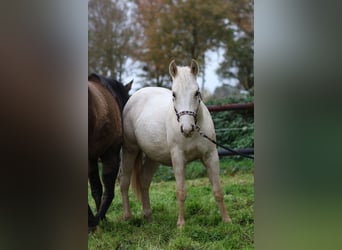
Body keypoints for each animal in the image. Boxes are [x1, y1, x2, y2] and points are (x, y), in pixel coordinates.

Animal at [87, 73, 132, 232]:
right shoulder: (111, 153)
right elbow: (108, 188)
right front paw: (99, 218)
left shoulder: (91, 158)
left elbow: (96, 188)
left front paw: (102, 217)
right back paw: (92, 221)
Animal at [119, 59, 231, 228]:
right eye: (174, 94)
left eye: (196, 92)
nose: (187, 128)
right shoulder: (178, 158)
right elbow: (181, 191)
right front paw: (181, 224)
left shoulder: (210, 156)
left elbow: (218, 190)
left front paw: (226, 221)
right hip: (130, 150)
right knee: (124, 181)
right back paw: (127, 217)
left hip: (153, 157)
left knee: (144, 181)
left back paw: (148, 217)